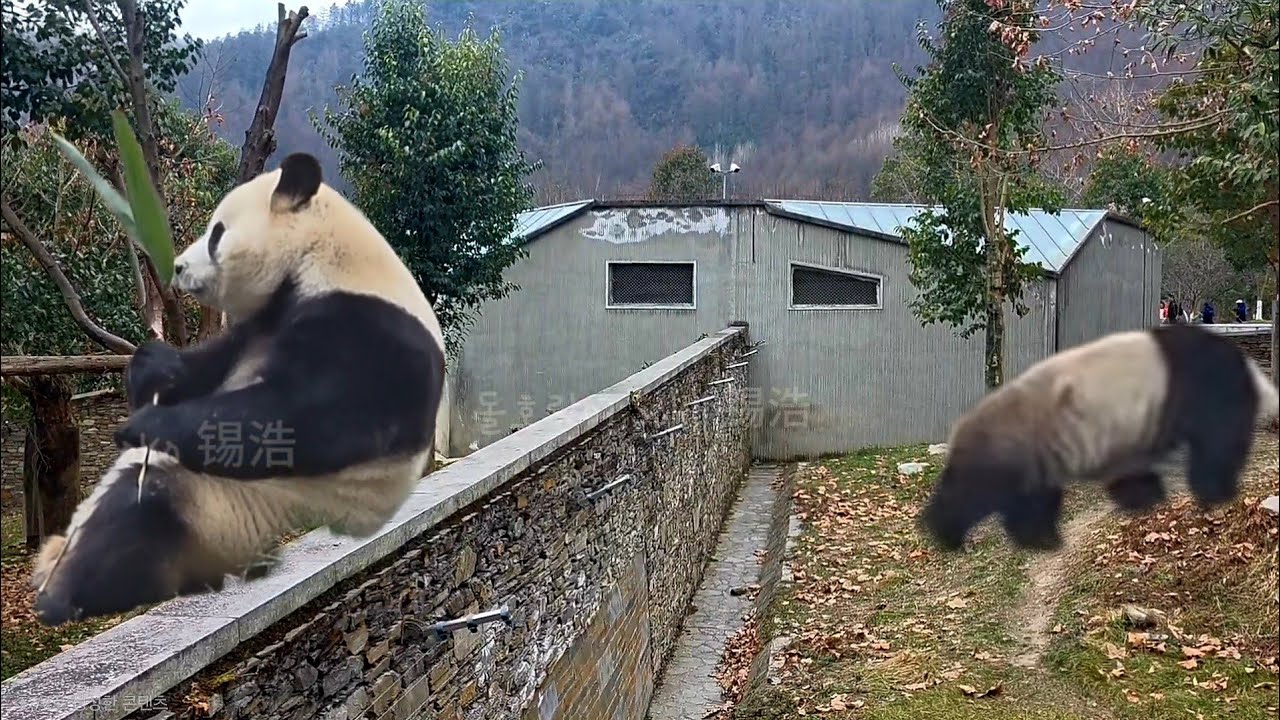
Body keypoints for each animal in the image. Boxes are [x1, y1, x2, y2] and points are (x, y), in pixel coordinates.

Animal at [31, 153, 447, 626]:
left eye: (217, 233)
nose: (177, 267)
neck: (322, 256)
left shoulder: (372, 332)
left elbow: (309, 421)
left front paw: (149, 422)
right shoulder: (261, 322)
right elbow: (208, 366)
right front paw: (152, 370)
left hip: (225, 508)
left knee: (138, 522)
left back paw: (63, 595)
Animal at [920, 323, 1279, 552]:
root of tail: (959, 428)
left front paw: (1144, 498)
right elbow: (1215, 446)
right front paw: (1216, 493)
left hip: (1039, 450)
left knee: (1030, 499)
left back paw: (1038, 539)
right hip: (1016, 443)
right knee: (977, 492)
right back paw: (946, 533)